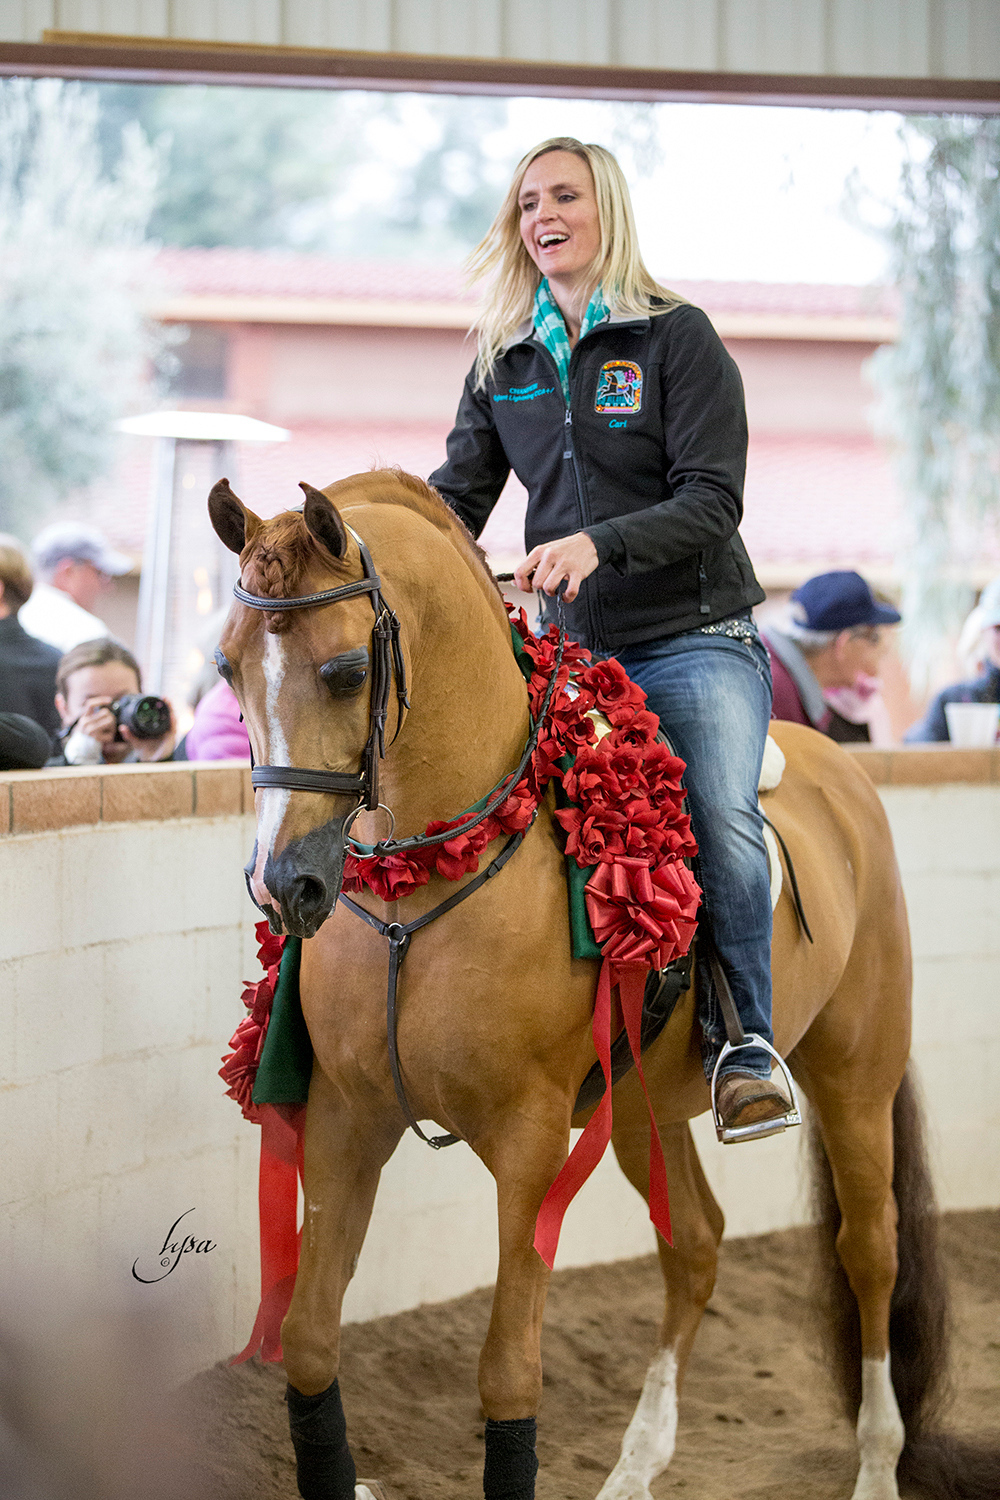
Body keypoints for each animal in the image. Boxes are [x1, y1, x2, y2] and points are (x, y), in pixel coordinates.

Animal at [209, 467, 997, 1500]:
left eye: (344, 672)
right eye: (227, 668)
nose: (285, 885)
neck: (426, 880)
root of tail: (844, 768)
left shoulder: (530, 1141)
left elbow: (508, 1372)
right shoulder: (348, 1119)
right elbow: (307, 1342)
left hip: (854, 1078)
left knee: (870, 1250)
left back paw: (875, 1466)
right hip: (642, 1106)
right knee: (696, 1244)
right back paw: (635, 1466)